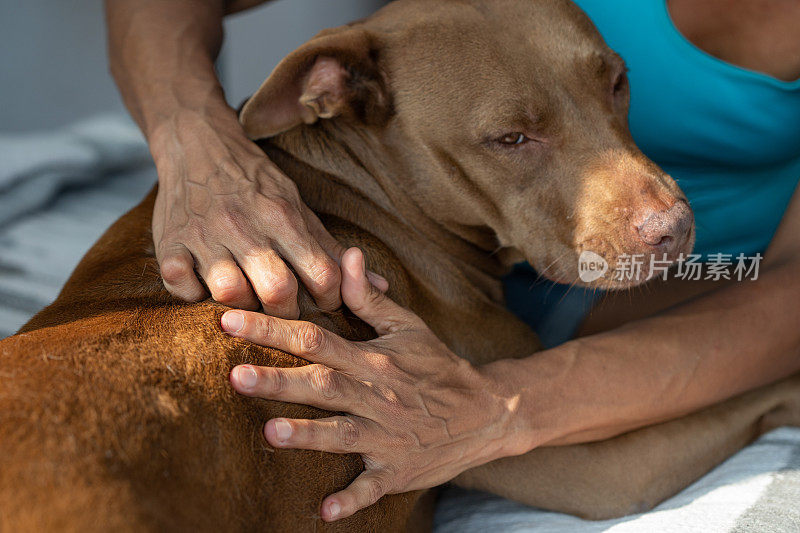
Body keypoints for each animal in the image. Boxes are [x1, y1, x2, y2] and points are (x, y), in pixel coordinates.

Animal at [3, 0, 796, 528]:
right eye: (510, 139)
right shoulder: (586, 464)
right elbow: (740, 395)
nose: (676, 227)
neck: (360, 192)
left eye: (618, 83)